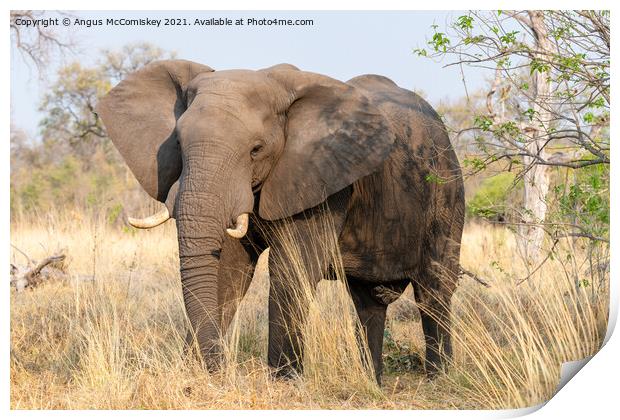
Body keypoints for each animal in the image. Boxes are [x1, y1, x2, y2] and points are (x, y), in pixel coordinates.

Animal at [95, 60, 464, 384]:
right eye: (177, 144)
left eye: (256, 149)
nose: (221, 370)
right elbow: (228, 270)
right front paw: (197, 373)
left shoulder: (323, 179)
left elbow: (290, 268)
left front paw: (284, 381)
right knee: (367, 302)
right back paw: (371, 382)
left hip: (447, 191)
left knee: (434, 289)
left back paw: (439, 379)